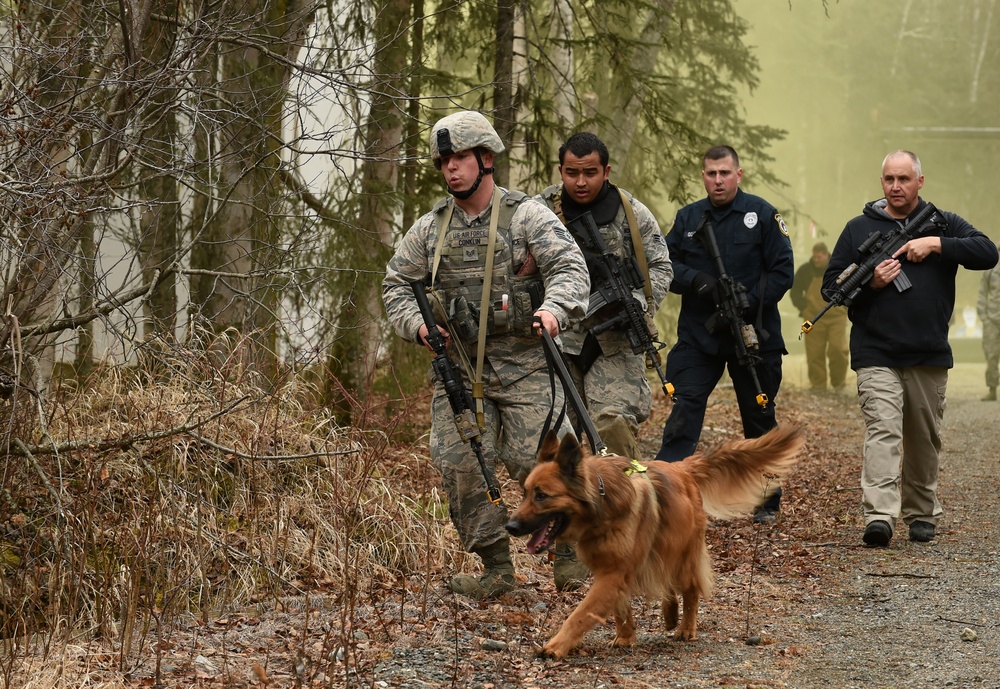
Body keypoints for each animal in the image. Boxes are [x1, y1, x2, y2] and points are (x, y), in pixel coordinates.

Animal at [508, 422, 804, 660]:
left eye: (542, 495)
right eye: (525, 493)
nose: (510, 527)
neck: (602, 503)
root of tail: (681, 467)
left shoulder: (614, 573)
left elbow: (580, 614)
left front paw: (555, 646)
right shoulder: (613, 571)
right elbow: (620, 606)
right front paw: (626, 636)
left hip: (681, 553)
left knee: (689, 588)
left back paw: (685, 627)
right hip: (660, 547)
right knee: (667, 582)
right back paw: (670, 614)